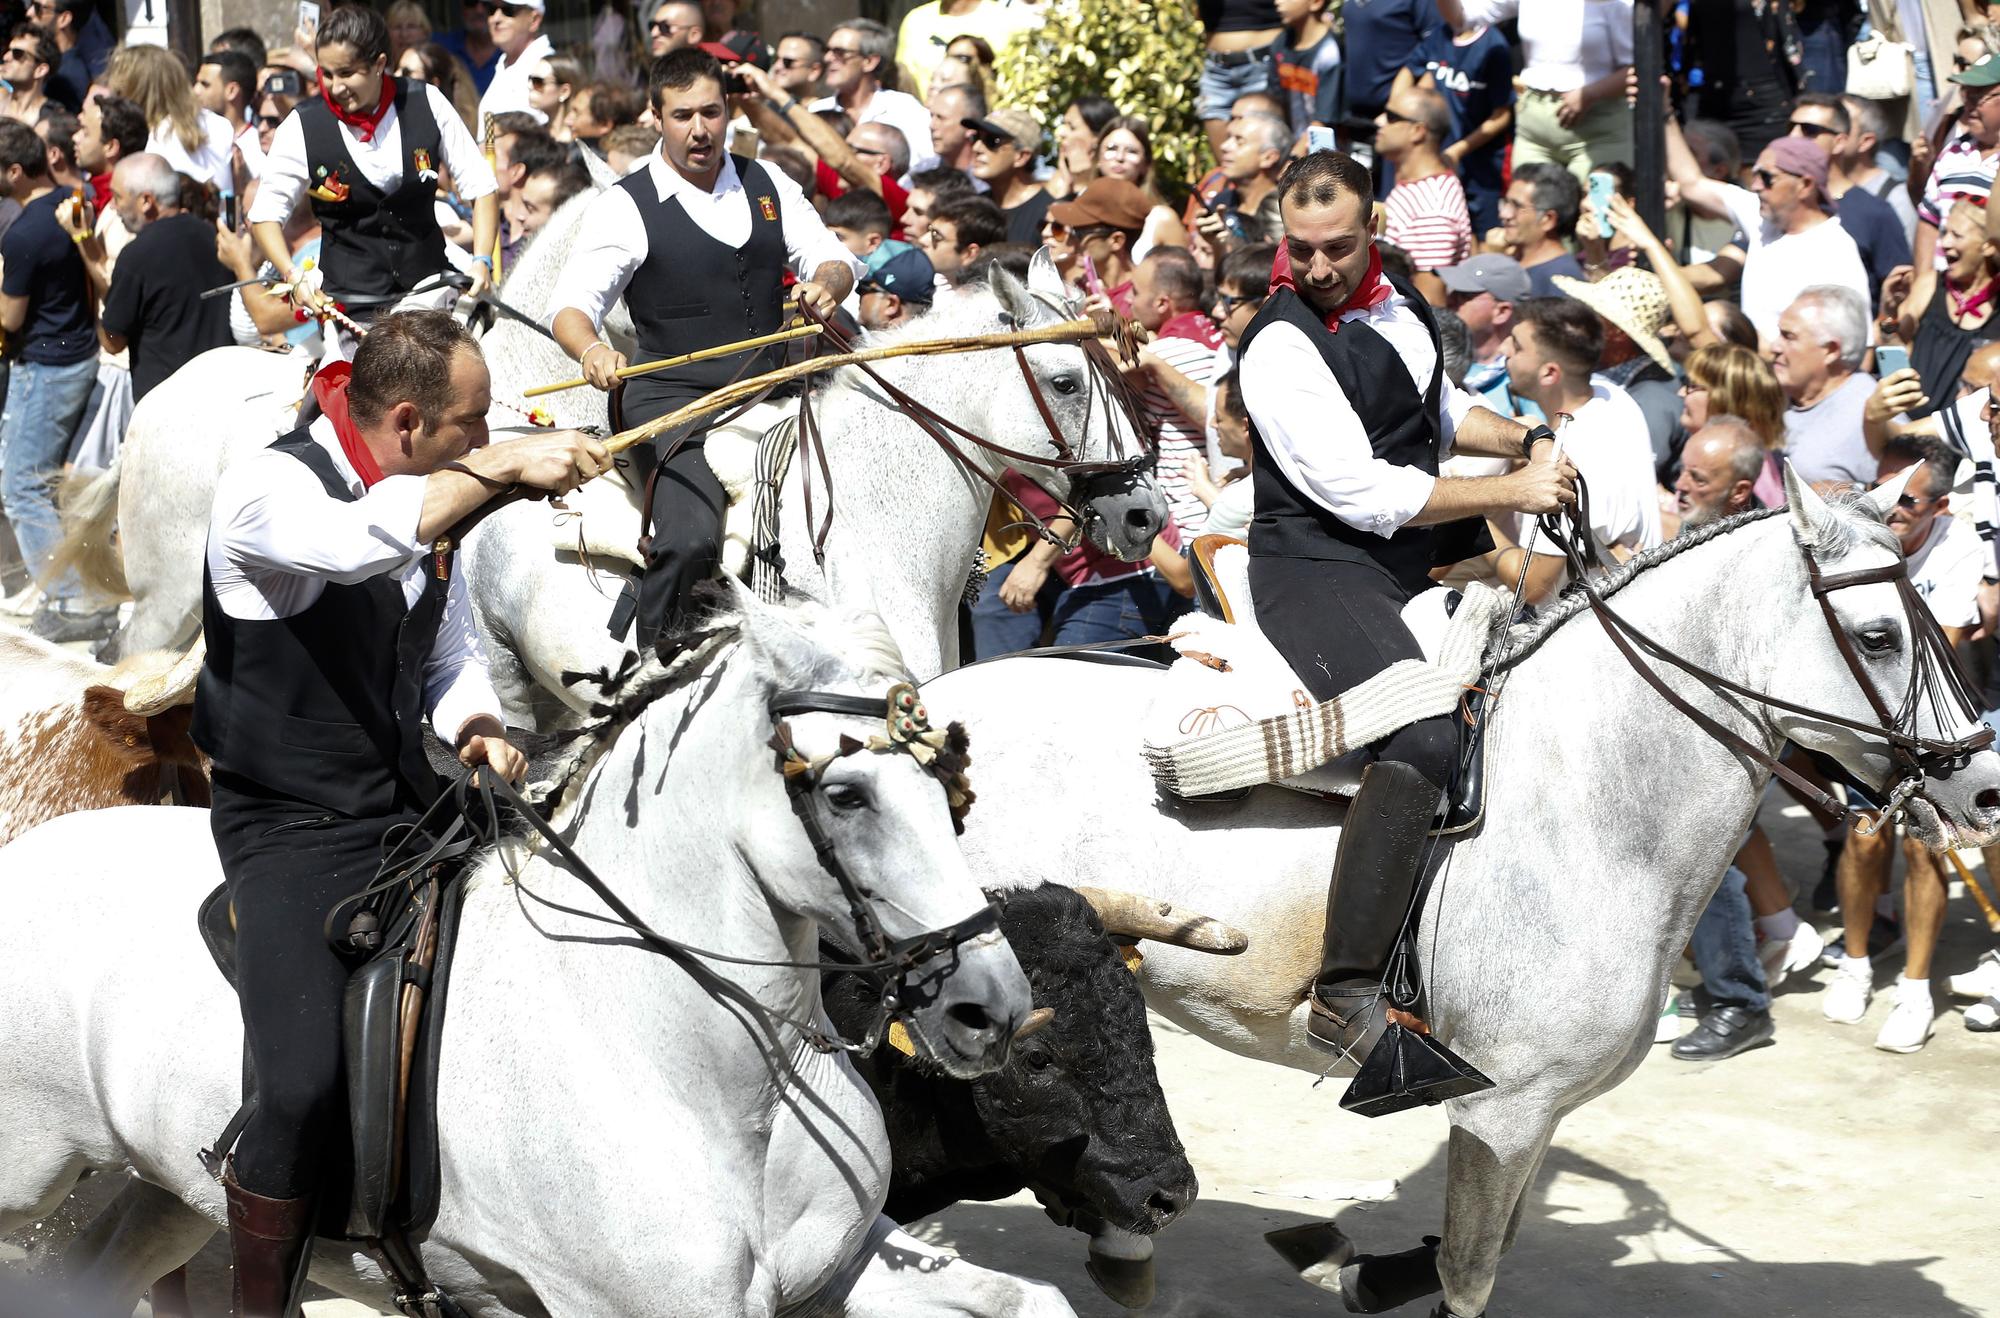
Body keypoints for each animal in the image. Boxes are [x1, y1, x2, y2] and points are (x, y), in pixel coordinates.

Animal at [0, 600, 1080, 1318]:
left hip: (166, 1194)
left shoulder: (839, 1266)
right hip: (30, 1174)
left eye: (950, 784)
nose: (989, 1008)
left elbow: (1033, 1301)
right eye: (846, 795)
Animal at [920, 470, 2000, 1312]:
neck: (1593, 802)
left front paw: (1349, 1265)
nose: (1981, 787)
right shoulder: (1502, 1110)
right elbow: (1472, 1271)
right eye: (1876, 635)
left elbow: (1475, 1248)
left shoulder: (1532, 1114)